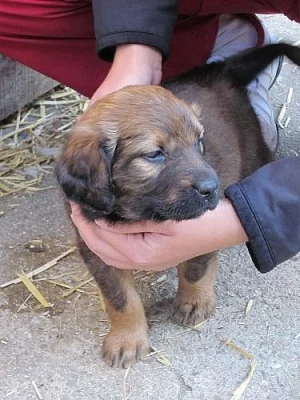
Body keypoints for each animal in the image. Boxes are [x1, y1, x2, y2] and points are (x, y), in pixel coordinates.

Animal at [55, 43, 300, 368]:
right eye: (155, 154)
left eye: (200, 143)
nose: (212, 189)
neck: (141, 213)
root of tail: (221, 70)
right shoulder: (95, 247)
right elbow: (120, 298)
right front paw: (127, 339)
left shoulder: (201, 227)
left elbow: (195, 267)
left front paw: (193, 301)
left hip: (253, 154)